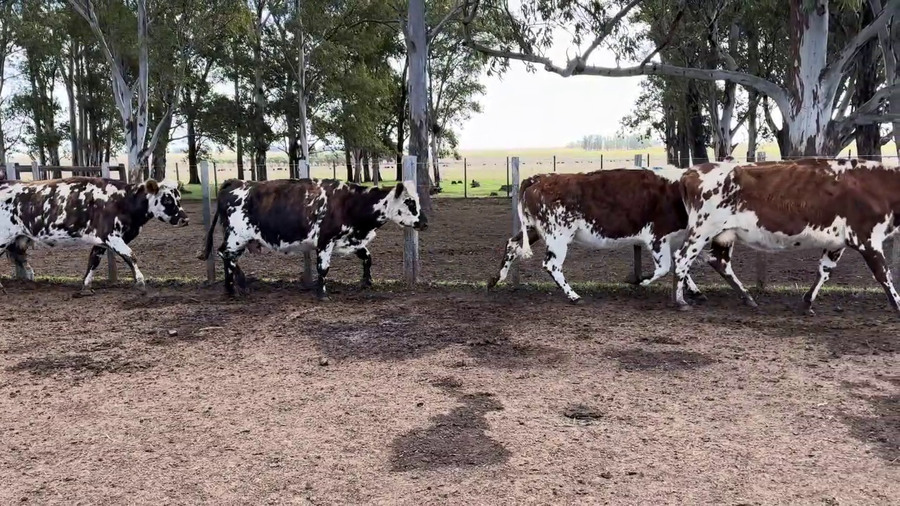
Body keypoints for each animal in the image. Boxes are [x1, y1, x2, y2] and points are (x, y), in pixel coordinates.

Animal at [0, 177, 189, 295]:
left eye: (178, 198)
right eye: (168, 199)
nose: (185, 219)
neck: (122, 201)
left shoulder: (101, 240)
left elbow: (93, 261)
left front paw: (85, 286)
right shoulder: (111, 236)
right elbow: (130, 256)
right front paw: (140, 283)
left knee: (21, 257)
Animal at [198, 178, 427, 300]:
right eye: (409, 202)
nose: (425, 222)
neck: (348, 203)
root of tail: (237, 182)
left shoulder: (351, 240)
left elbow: (367, 258)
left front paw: (366, 281)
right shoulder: (325, 241)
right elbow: (323, 268)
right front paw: (322, 293)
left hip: (239, 240)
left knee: (229, 258)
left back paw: (236, 285)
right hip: (236, 237)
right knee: (225, 254)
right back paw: (235, 286)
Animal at [488, 166, 715, 304]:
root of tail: (539, 178)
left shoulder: (674, 239)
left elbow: (681, 265)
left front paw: (694, 290)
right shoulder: (657, 237)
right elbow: (667, 267)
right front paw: (640, 281)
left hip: (534, 229)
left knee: (512, 244)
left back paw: (495, 279)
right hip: (558, 235)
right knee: (551, 264)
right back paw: (573, 296)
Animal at [672, 157, 900, 314]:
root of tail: (691, 171)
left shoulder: (837, 242)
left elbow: (824, 271)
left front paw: (807, 303)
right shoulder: (867, 239)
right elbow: (884, 274)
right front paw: (898, 304)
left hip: (723, 234)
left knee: (719, 262)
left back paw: (746, 297)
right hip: (703, 228)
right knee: (682, 258)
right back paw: (680, 301)